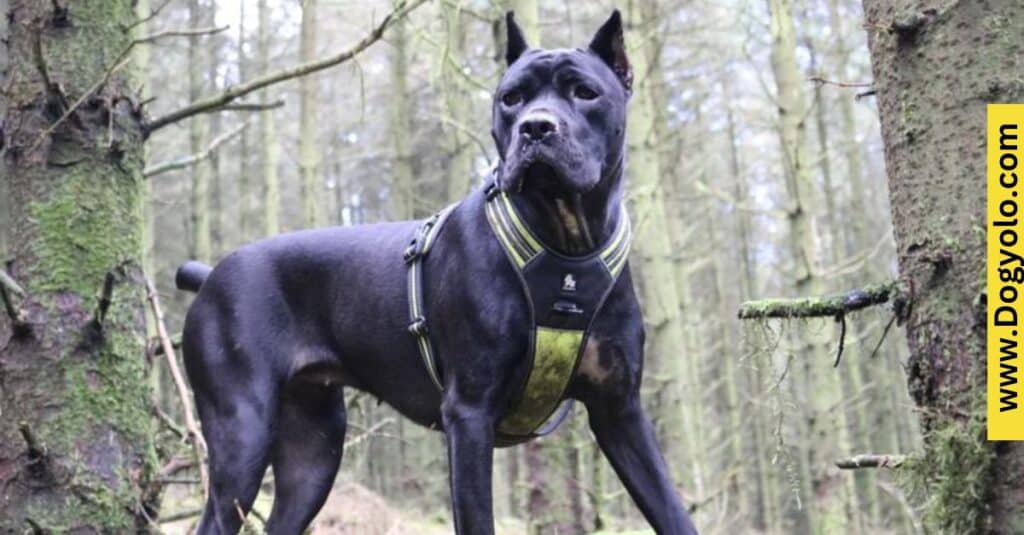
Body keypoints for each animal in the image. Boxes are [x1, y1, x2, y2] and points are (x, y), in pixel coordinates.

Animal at [178, 12, 696, 532]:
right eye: (511, 98)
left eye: (585, 92)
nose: (535, 128)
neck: (564, 243)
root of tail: (211, 275)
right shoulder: (469, 414)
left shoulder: (620, 412)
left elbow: (673, 510)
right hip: (243, 433)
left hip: (313, 455)